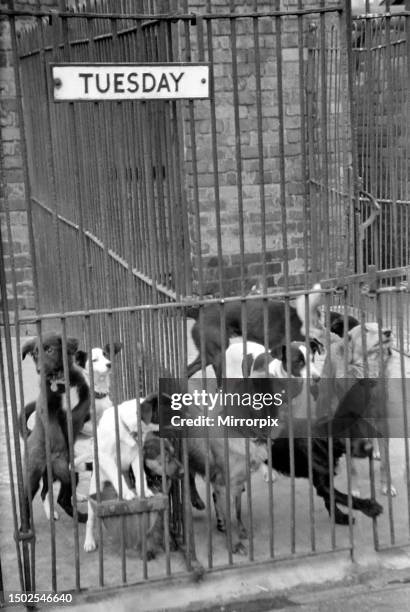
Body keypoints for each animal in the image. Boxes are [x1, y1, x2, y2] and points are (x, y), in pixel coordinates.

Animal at [20, 332, 89, 524]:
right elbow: (55, 431)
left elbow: (82, 410)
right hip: (33, 474)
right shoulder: (47, 409)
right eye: (35, 354)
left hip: (69, 474)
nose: (39, 370)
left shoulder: (84, 396)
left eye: (50, 350)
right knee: (29, 499)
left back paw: (76, 514)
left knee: (58, 496)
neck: (60, 382)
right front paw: (60, 449)